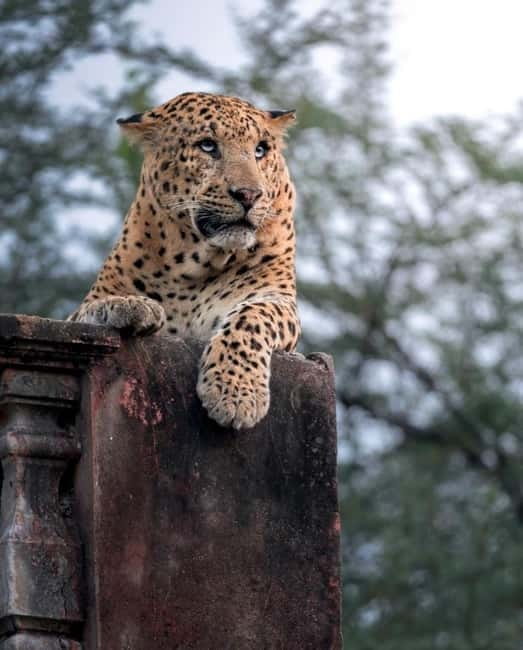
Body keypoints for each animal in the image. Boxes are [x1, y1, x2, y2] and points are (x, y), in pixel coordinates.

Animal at [70, 92, 300, 430]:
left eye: (260, 150)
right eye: (207, 146)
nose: (249, 194)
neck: (196, 263)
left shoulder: (275, 298)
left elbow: (252, 317)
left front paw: (234, 392)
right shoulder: (80, 310)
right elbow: (93, 309)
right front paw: (132, 306)